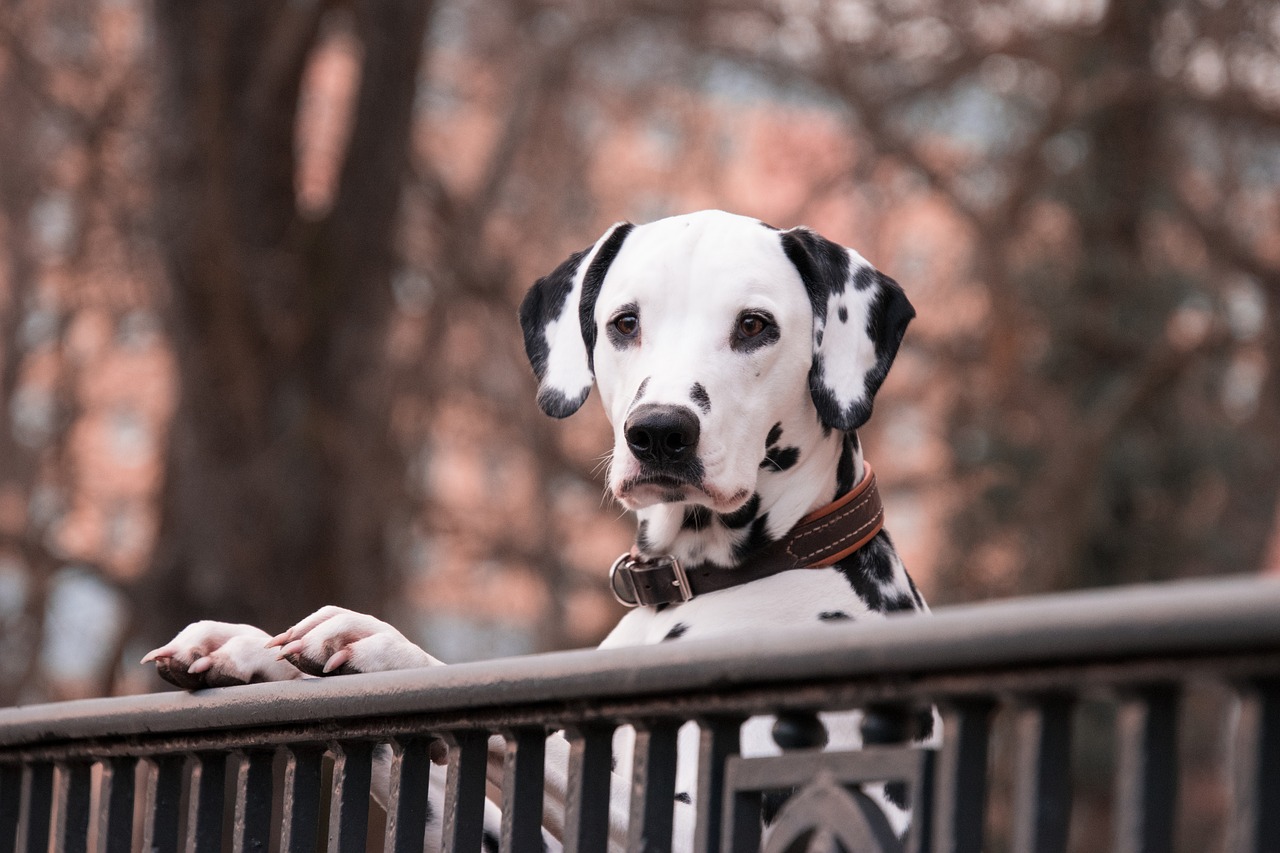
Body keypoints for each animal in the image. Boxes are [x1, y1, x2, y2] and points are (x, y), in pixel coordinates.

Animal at [145, 208, 926, 845]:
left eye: (755, 325)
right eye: (624, 322)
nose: (659, 432)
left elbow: (531, 732)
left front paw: (382, 645)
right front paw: (250, 648)